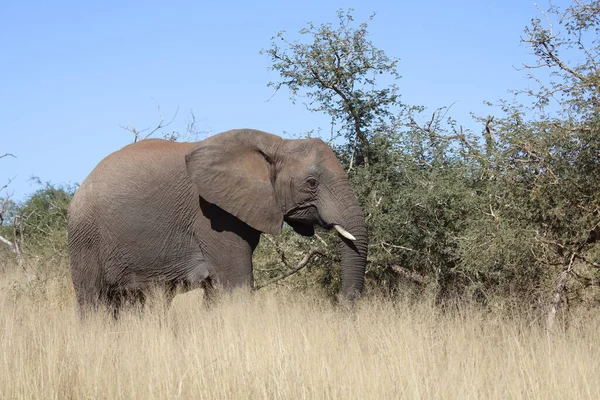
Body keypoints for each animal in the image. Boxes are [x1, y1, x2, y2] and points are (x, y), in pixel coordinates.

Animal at [65, 128, 366, 316]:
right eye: (312, 183)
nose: (340, 311)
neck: (278, 144)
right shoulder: (211, 215)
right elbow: (236, 285)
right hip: (85, 238)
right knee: (92, 302)